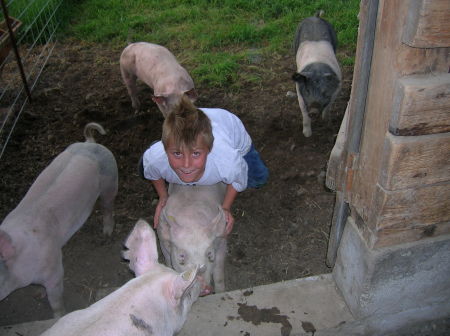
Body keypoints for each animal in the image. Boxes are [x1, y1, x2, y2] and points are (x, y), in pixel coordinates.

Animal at [0, 122, 118, 318]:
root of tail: (90, 142)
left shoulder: (54, 268)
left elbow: (55, 300)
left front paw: (58, 316)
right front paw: (38, 295)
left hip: (111, 181)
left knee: (108, 207)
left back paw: (107, 234)